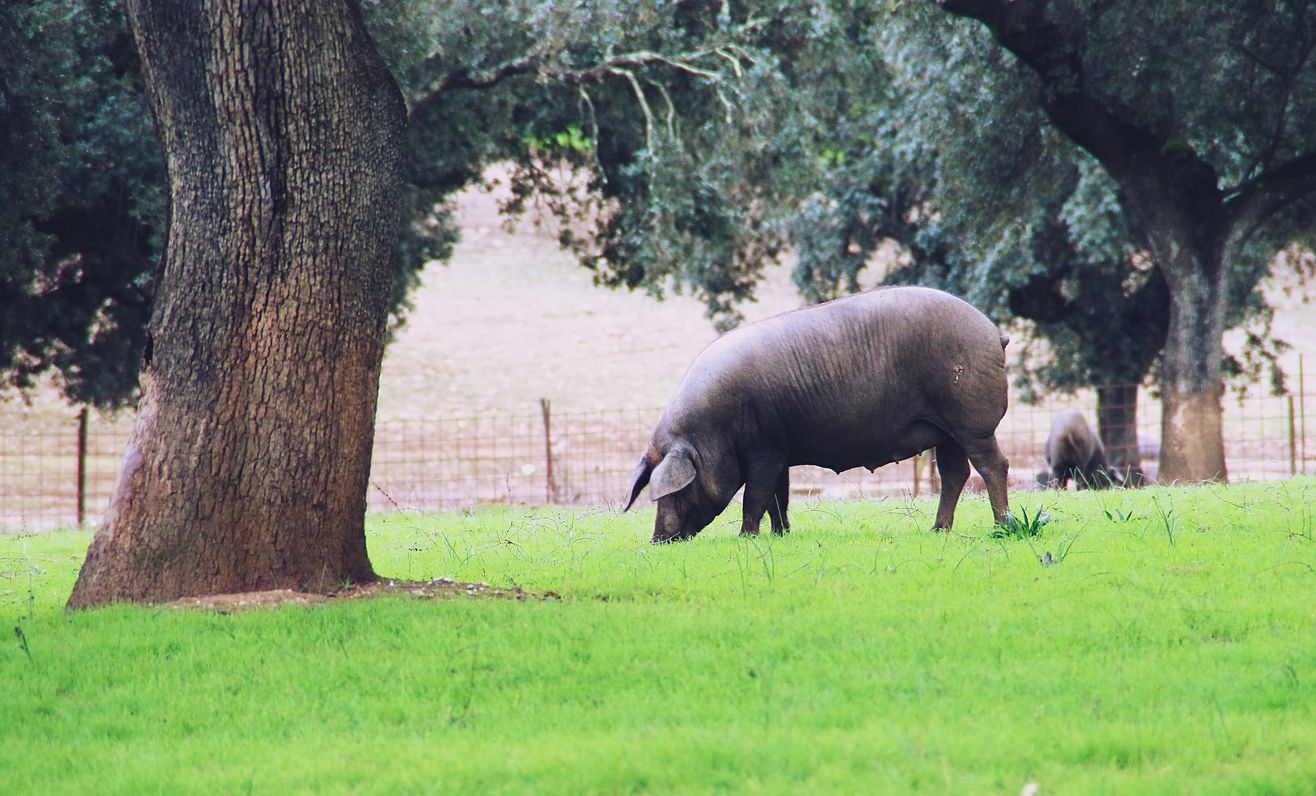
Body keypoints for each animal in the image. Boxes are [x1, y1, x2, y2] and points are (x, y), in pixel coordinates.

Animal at [623, 286, 1011, 542]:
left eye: (676, 490)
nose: (657, 540)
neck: (712, 432)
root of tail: (993, 331)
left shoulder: (763, 450)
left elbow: (754, 497)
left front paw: (746, 538)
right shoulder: (780, 450)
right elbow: (778, 498)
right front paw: (780, 536)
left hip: (972, 421)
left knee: (993, 466)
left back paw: (1001, 527)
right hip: (947, 431)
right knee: (954, 474)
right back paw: (937, 530)